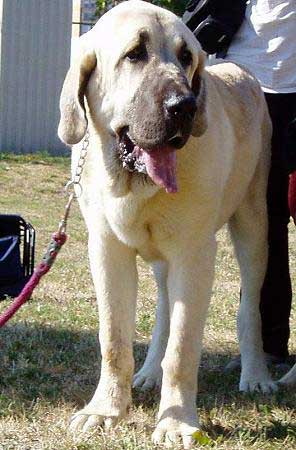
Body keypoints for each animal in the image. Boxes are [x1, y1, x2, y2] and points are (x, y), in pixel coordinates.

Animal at [58, 0, 280, 446]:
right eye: (134, 54)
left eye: (186, 57)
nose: (185, 106)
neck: (134, 184)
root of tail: (241, 72)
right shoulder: (106, 251)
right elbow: (114, 338)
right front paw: (105, 410)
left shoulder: (195, 256)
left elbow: (182, 349)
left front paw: (177, 424)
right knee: (162, 307)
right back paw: (147, 372)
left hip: (253, 224)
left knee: (250, 308)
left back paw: (256, 374)